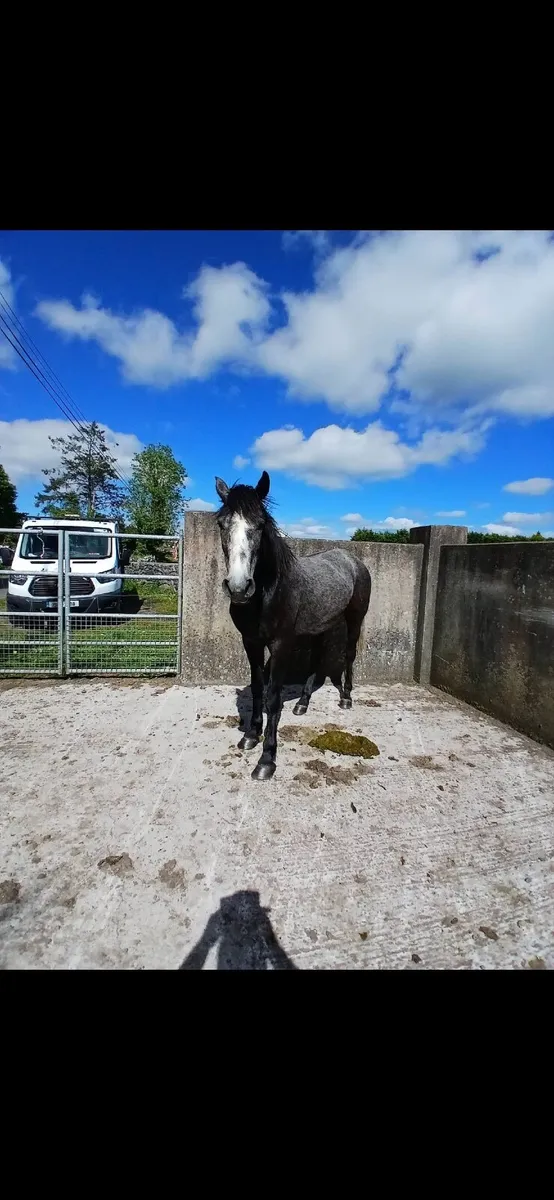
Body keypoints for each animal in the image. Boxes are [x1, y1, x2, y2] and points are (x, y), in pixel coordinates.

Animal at [215, 470, 371, 781]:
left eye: (260, 524)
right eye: (222, 524)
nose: (238, 588)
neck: (268, 591)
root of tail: (353, 560)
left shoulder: (280, 645)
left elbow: (273, 698)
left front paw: (267, 760)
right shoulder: (251, 642)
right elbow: (257, 687)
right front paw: (250, 735)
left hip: (354, 620)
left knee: (349, 655)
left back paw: (346, 698)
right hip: (321, 625)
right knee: (316, 661)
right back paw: (302, 703)